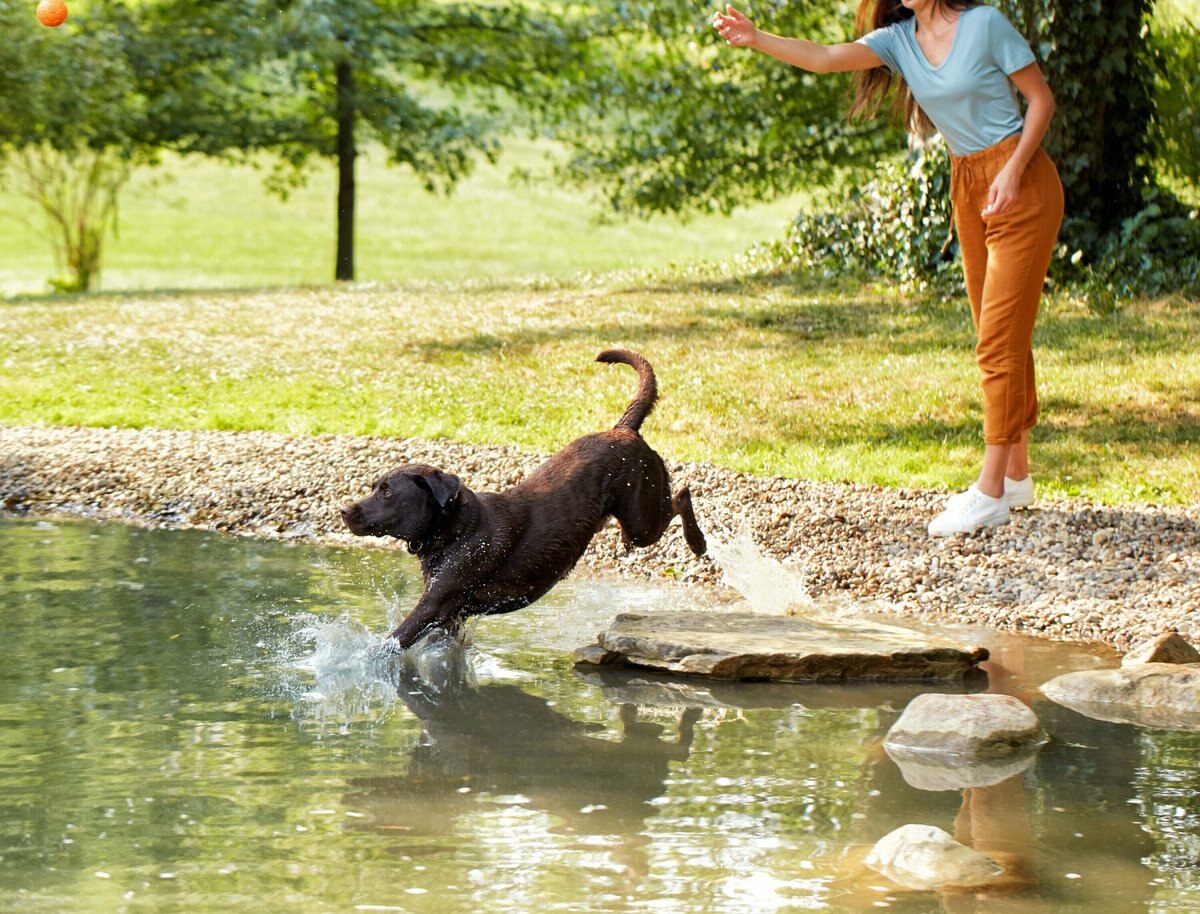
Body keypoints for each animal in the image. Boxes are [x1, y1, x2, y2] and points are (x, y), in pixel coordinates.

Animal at [338, 347, 705, 647]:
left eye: (387, 492)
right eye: (373, 486)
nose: (343, 510)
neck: (454, 529)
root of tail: (624, 428)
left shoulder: (435, 603)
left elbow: (391, 642)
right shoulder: (450, 614)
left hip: (641, 517)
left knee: (681, 496)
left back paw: (698, 541)